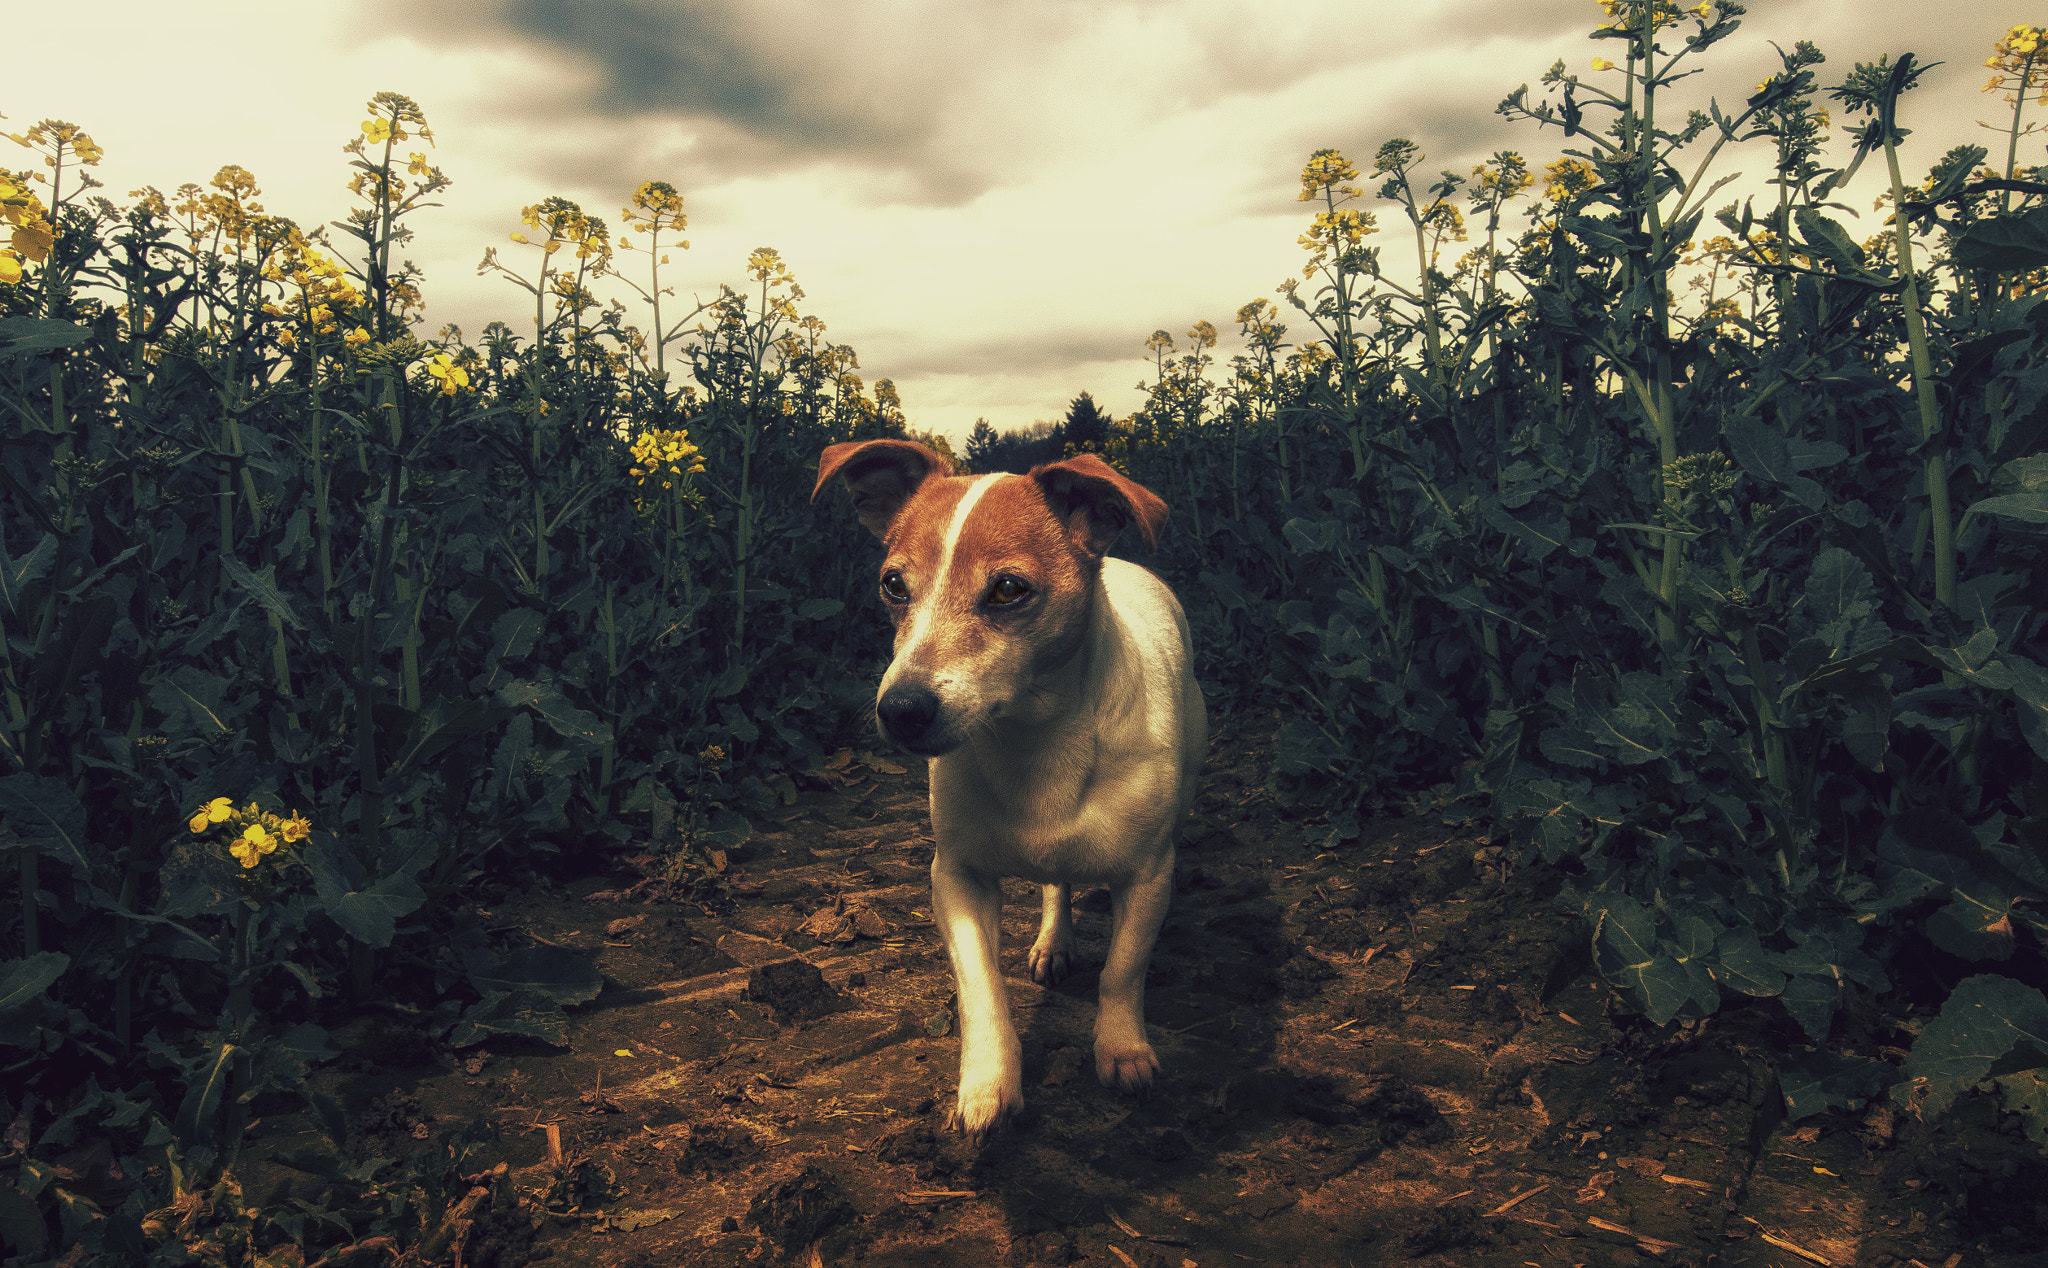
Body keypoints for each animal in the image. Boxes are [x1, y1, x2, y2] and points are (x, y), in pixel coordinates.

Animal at [811, 438, 1204, 1138]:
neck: (1035, 742)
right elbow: (981, 988)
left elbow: (1123, 970)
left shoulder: (1149, 875)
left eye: (1009, 590)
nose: (900, 709)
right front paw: (989, 1083)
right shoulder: (957, 878)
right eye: (893, 585)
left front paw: (1122, 1049)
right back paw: (1054, 939)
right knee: (1055, 886)